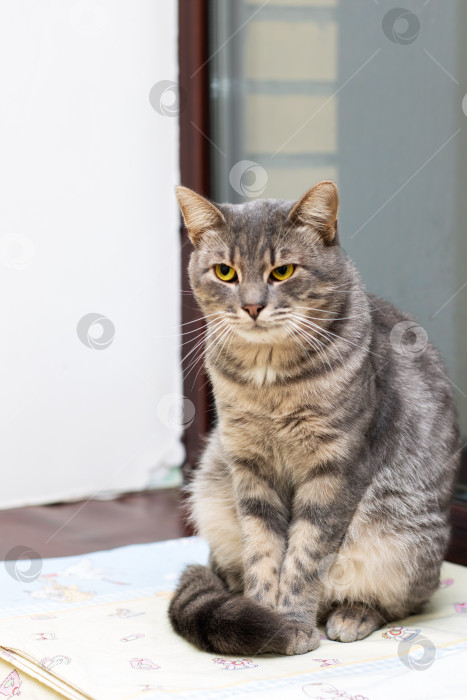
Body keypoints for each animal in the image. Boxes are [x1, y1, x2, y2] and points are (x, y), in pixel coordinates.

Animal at [169, 182, 460, 656]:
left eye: (283, 271)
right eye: (225, 273)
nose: (252, 307)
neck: (269, 384)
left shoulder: (335, 469)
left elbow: (305, 554)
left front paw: (290, 621)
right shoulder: (248, 466)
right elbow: (263, 549)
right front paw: (264, 615)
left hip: (404, 541)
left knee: (401, 603)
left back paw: (351, 615)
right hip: (212, 491)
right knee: (225, 568)